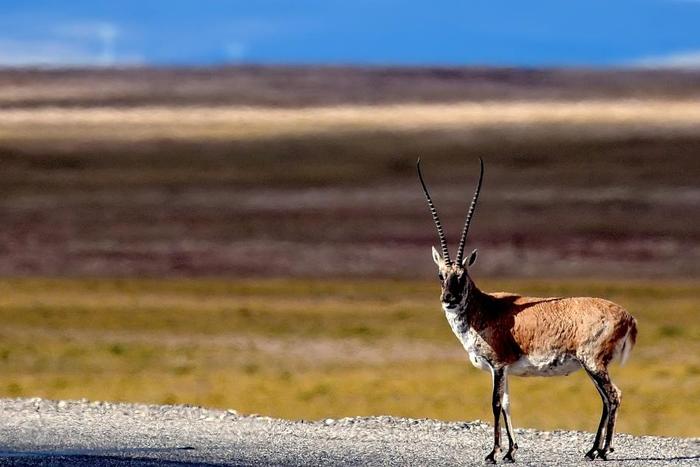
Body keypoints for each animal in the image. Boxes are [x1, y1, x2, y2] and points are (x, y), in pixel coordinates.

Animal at [418, 158, 636, 464]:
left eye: (462, 275)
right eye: (441, 275)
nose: (448, 299)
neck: (484, 307)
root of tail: (628, 317)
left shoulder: (498, 366)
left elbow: (495, 403)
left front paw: (493, 453)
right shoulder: (505, 370)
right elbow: (507, 403)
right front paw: (510, 452)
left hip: (593, 363)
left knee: (613, 396)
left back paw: (602, 451)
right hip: (592, 366)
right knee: (606, 398)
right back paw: (593, 450)